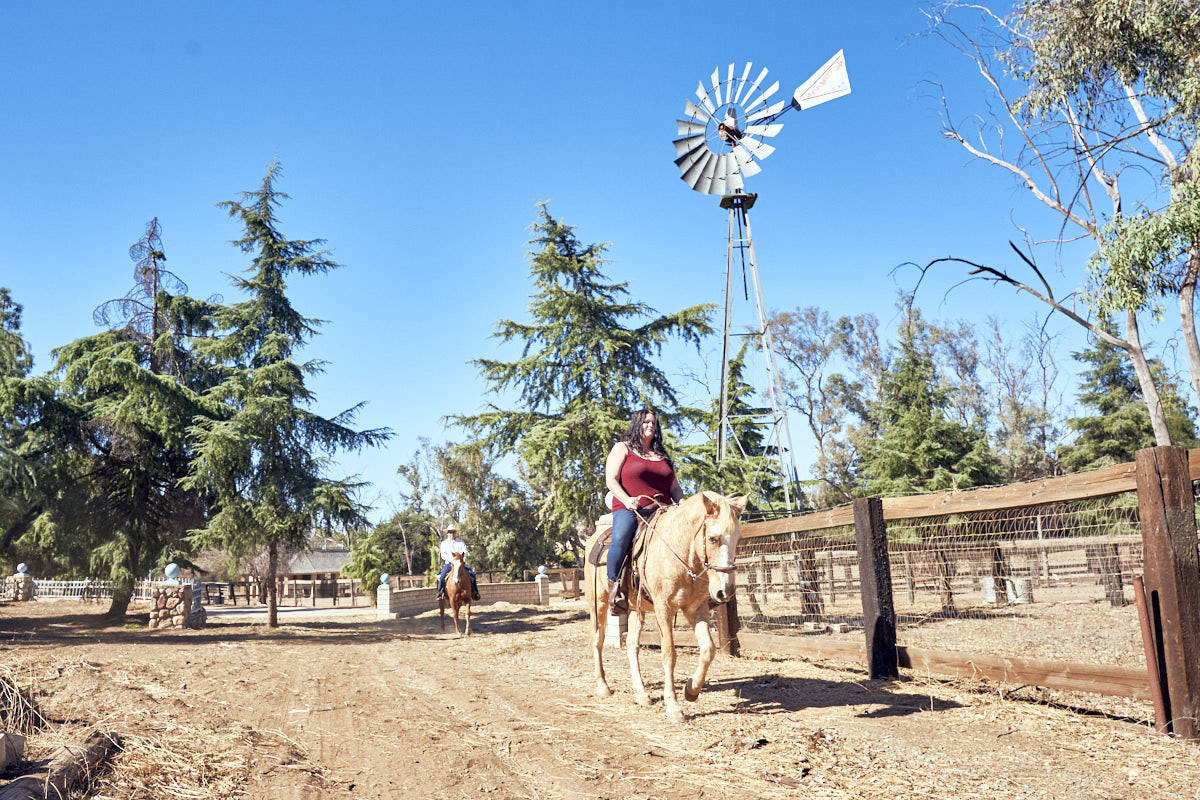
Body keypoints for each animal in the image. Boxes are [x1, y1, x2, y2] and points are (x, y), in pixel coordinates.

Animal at [583, 491, 744, 724]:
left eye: (738, 538)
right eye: (713, 538)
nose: (726, 591)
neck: (680, 552)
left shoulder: (696, 608)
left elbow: (708, 649)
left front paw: (691, 690)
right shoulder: (664, 609)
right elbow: (669, 654)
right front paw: (673, 706)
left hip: (636, 609)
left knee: (632, 645)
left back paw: (641, 693)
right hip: (599, 604)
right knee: (597, 641)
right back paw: (603, 686)